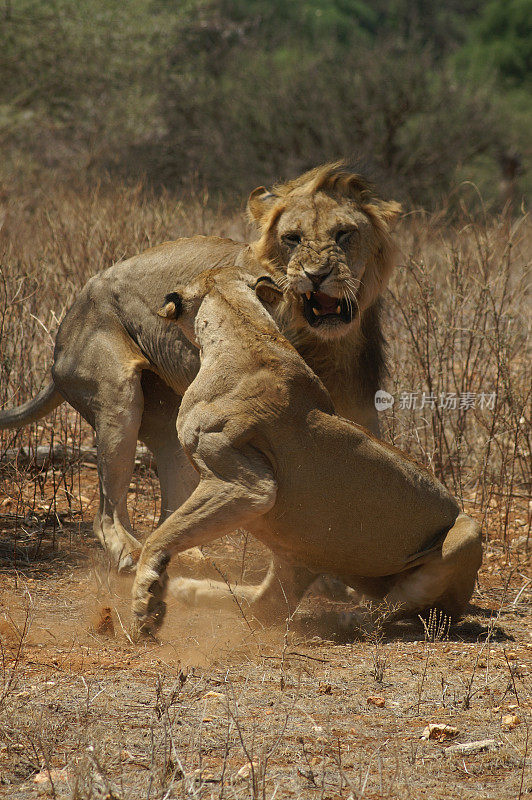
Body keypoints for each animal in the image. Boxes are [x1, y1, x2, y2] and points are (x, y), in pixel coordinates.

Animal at [0, 164, 400, 576]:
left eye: (344, 234)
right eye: (292, 238)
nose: (316, 274)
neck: (326, 342)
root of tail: (64, 327)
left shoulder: (356, 410)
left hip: (167, 418)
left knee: (171, 494)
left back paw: (186, 557)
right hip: (116, 397)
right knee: (106, 510)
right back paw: (128, 553)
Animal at [132, 268, 482, 636]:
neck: (244, 326)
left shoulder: (247, 484)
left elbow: (161, 535)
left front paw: (146, 603)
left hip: (467, 534)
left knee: (402, 610)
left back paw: (352, 619)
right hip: (297, 556)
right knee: (267, 606)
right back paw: (191, 589)